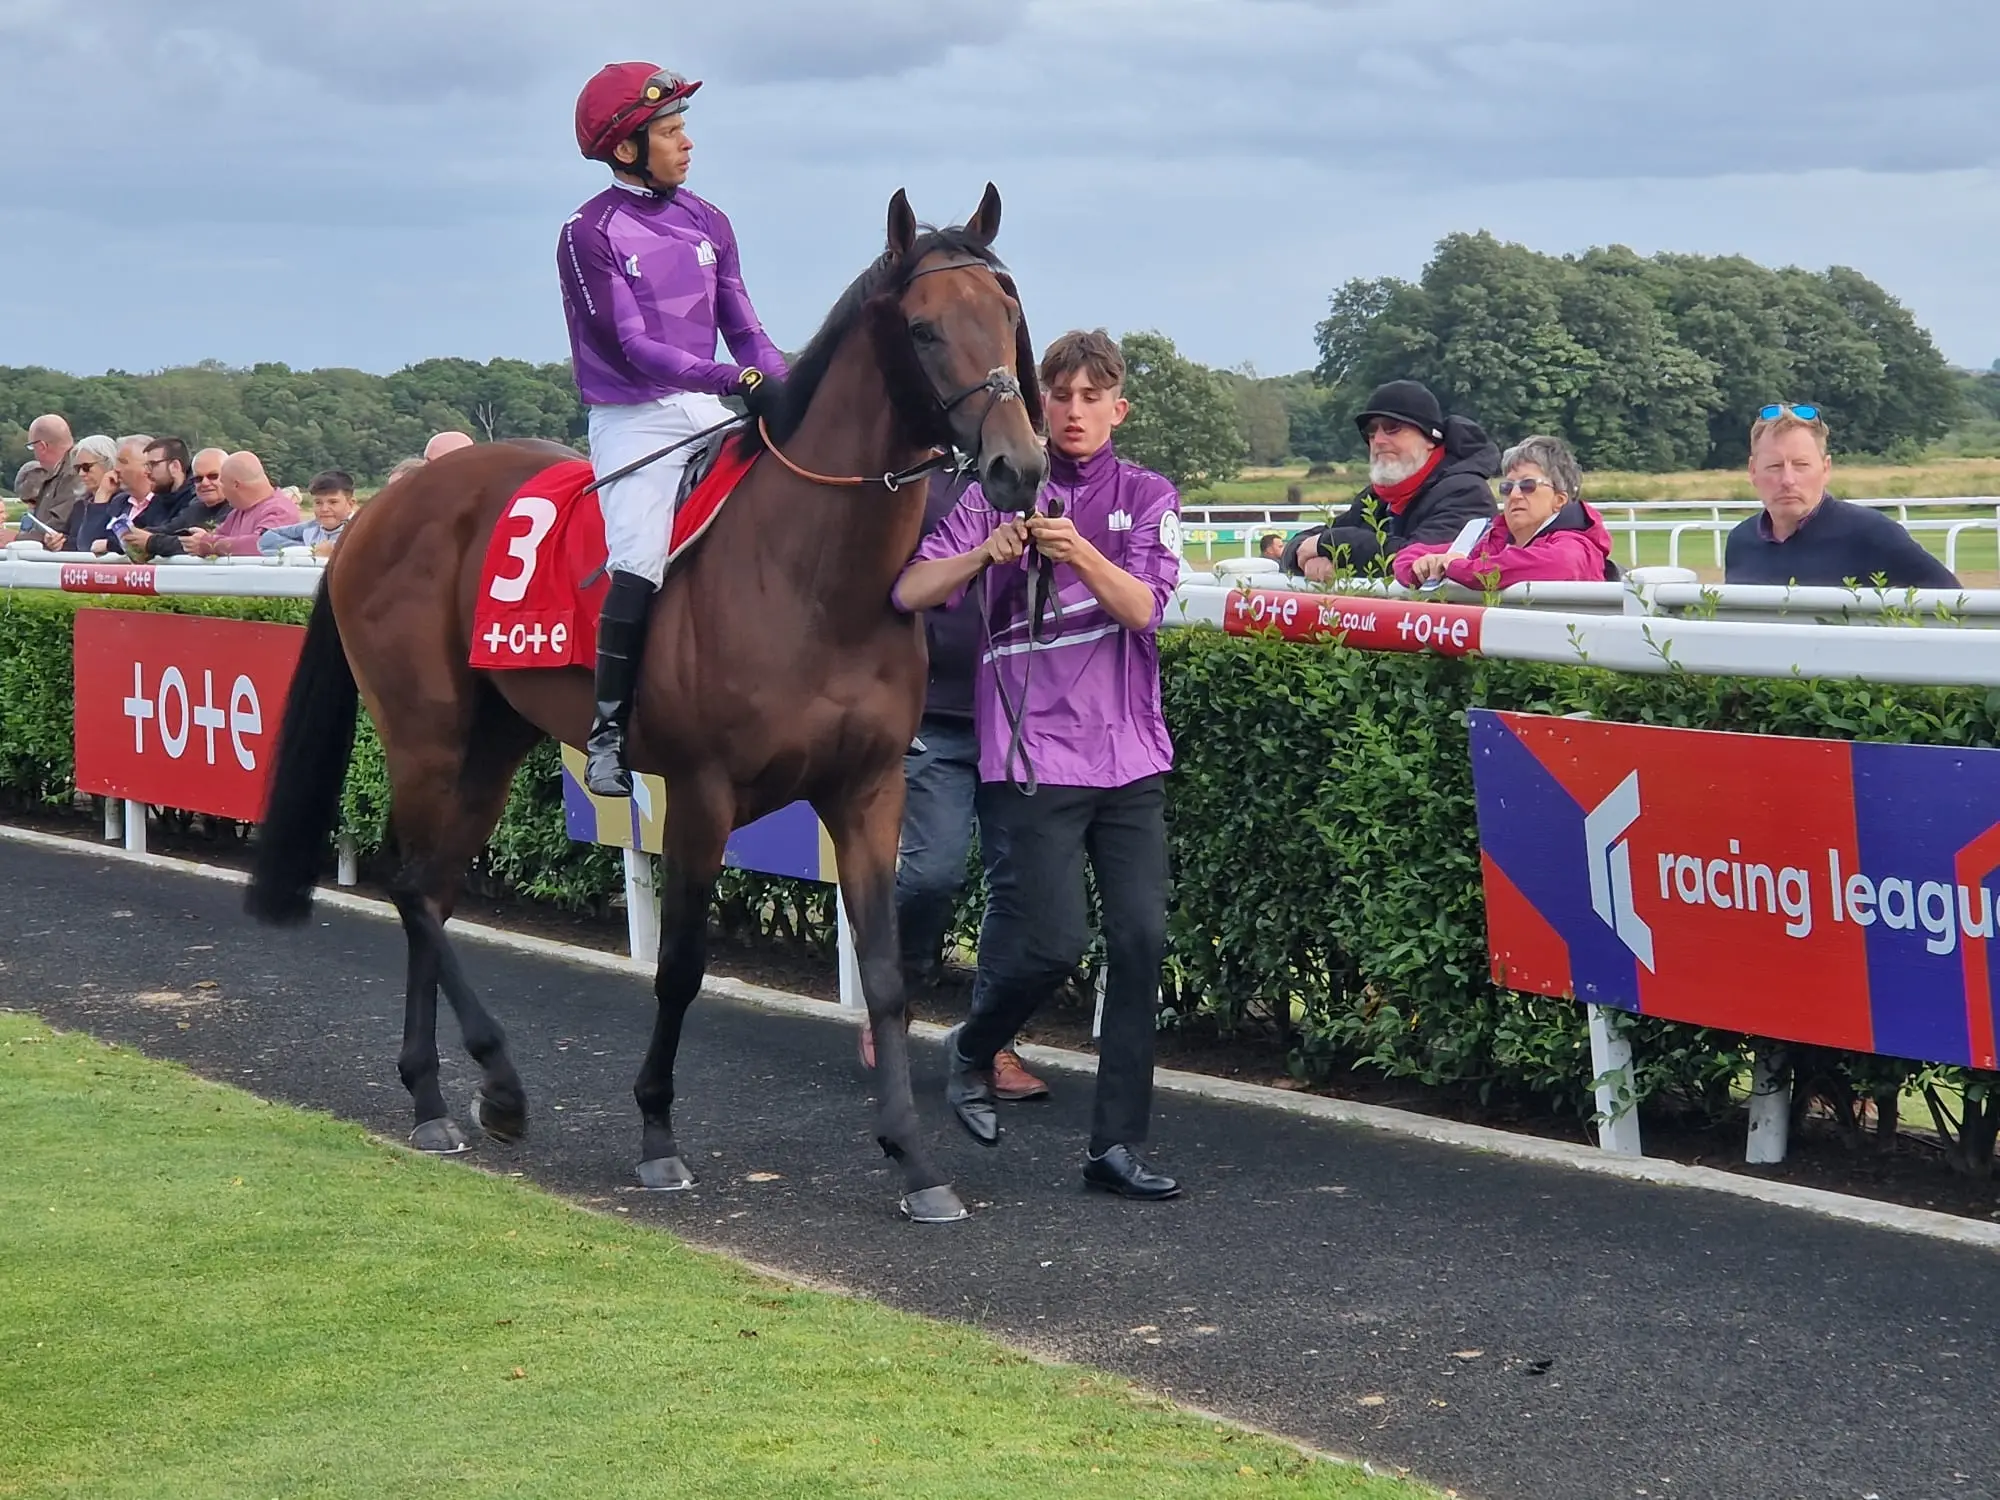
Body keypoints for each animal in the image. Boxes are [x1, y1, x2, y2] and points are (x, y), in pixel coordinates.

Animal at [246, 185, 1048, 1224]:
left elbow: (884, 977)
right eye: (922, 328)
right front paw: (659, 1137)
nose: (1019, 468)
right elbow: (680, 969)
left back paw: (437, 1096)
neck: (812, 573)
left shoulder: (869, 791)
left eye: (1010, 315)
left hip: (490, 748)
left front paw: (914, 1161)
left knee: (434, 888)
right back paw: (492, 1084)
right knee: (412, 887)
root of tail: (374, 515)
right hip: (425, 737)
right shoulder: (704, 793)